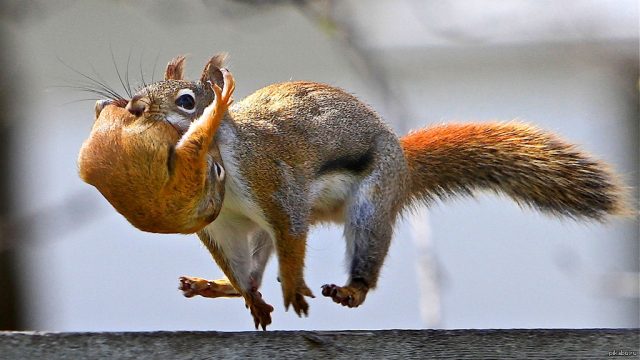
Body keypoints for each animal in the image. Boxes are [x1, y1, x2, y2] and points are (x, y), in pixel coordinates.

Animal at [76, 52, 632, 330]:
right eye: (143, 91)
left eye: (188, 101)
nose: (131, 107)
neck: (221, 163)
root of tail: (404, 164)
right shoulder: (227, 225)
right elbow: (239, 264)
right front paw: (252, 297)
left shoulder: (274, 184)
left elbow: (292, 235)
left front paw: (293, 289)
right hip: (262, 232)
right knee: (252, 267)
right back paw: (219, 287)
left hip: (371, 202)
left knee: (358, 253)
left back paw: (350, 289)